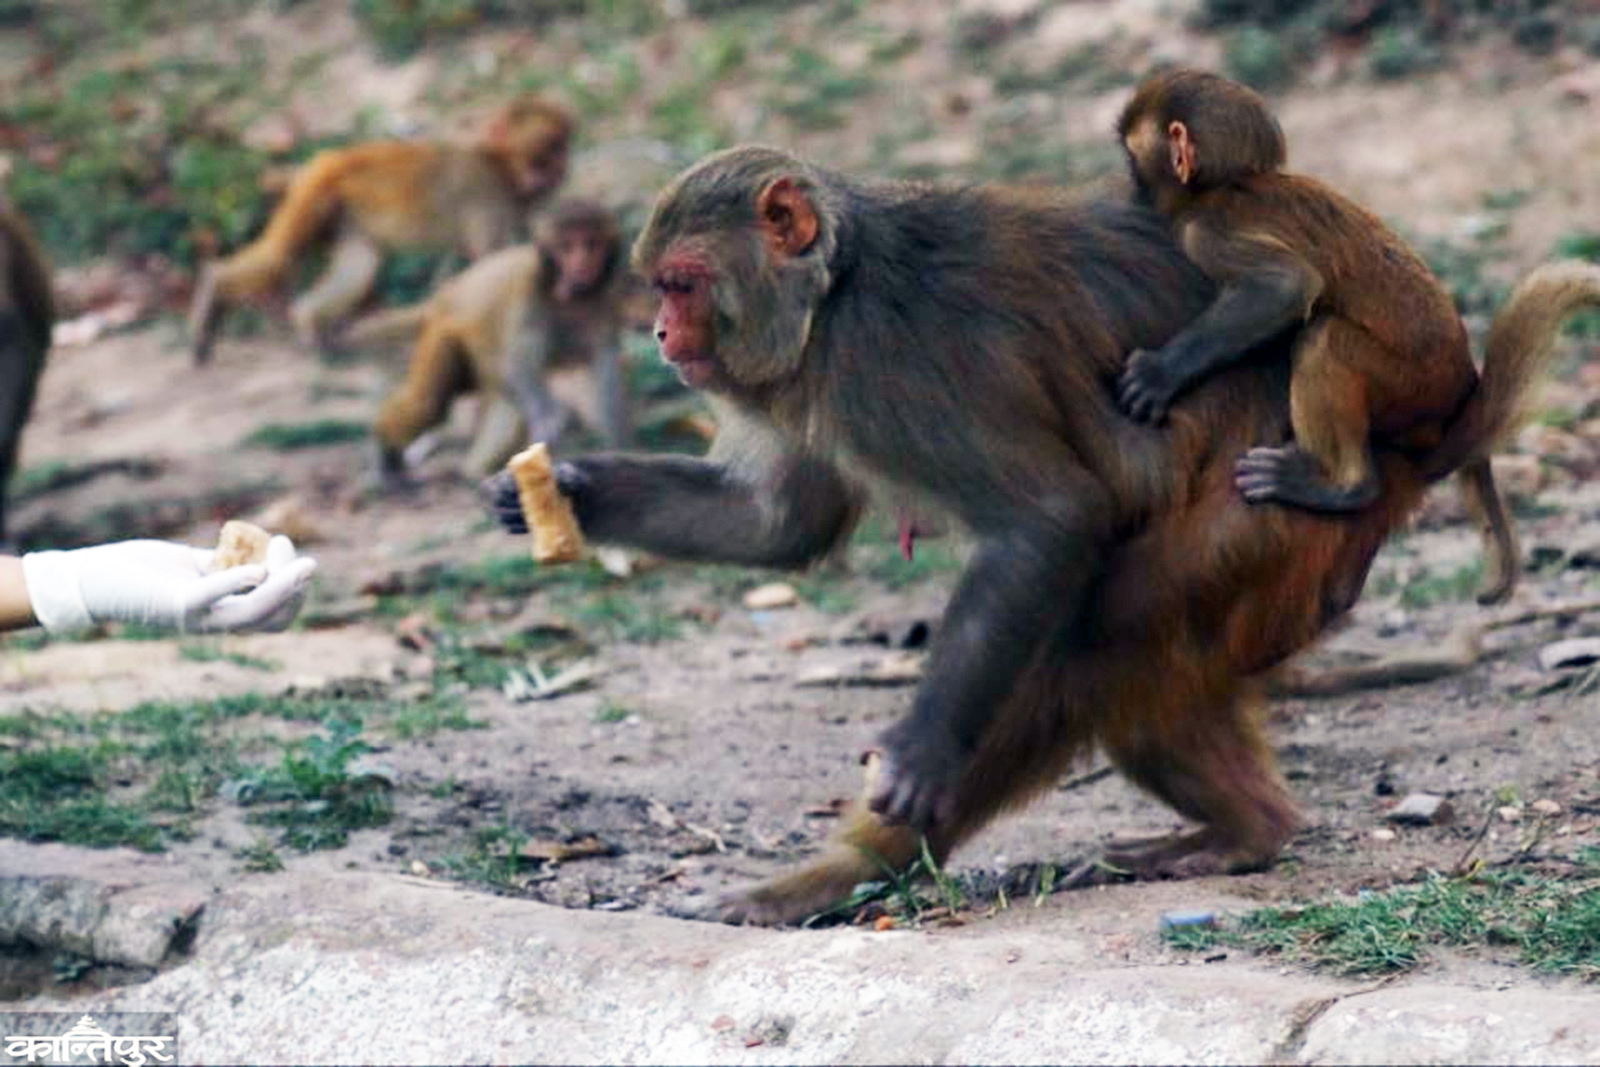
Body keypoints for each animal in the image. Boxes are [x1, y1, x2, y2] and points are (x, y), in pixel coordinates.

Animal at [188, 95, 576, 363]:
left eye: (561, 148)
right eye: (545, 152)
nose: (560, 167)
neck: (499, 165)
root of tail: (334, 158)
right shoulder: (489, 201)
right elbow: (485, 276)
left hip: (342, 214)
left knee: (358, 268)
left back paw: (309, 321)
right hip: (315, 191)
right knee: (277, 259)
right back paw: (215, 285)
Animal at [486, 143, 1600, 927]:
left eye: (677, 283)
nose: (661, 336)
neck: (833, 296)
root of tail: (1412, 444)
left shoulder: (892, 361)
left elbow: (1045, 517)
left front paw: (920, 752)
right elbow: (775, 527)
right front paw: (561, 491)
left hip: (1274, 509)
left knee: (1106, 641)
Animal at [1113, 68, 1510, 601]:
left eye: (1132, 162)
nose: (1126, 192)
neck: (1222, 188)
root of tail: (1464, 381)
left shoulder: (1204, 232)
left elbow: (1285, 286)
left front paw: (1161, 372)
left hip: (1410, 387)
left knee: (1323, 338)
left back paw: (1343, 486)